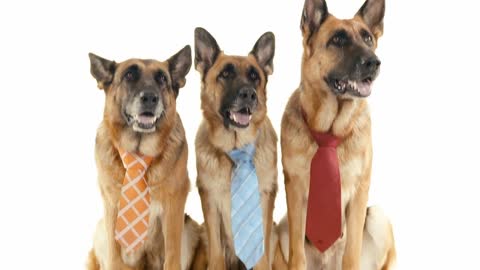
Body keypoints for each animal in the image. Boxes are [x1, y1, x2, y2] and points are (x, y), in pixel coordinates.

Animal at [84, 45, 201, 268]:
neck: (138, 154)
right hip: (100, 229)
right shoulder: (112, 207)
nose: (150, 98)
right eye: (129, 75)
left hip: (189, 228)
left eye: (162, 78)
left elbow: (172, 256)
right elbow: (115, 257)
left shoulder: (174, 206)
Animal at [193, 28, 278, 270]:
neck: (236, 146)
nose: (249, 94)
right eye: (225, 74)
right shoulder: (209, 200)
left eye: (254, 76)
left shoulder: (266, 199)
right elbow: (216, 252)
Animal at [276, 0, 396, 268]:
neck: (329, 131)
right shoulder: (294, 191)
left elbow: (351, 253)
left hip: (378, 216)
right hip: (283, 225)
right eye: (338, 40)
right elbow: (297, 255)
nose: (374, 62)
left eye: (368, 38)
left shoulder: (360, 192)